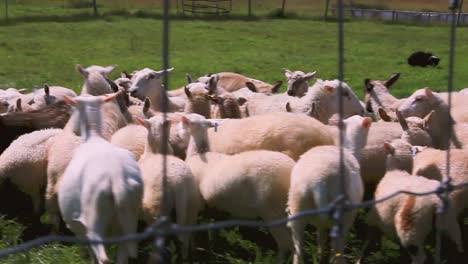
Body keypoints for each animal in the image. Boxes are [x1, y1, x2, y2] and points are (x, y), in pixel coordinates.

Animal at [57, 93, 141, 264]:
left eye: (72, 109)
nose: (74, 131)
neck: (93, 136)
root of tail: (117, 179)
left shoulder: (81, 227)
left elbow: (89, 249)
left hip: (94, 218)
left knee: (102, 256)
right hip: (129, 218)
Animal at [184, 113, 296, 262]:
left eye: (188, 122)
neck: (198, 153)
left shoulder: (197, 204)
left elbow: (194, 232)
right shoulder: (214, 207)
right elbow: (213, 229)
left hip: (273, 211)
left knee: (285, 243)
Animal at [288, 115, 372, 264]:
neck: (349, 149)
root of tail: (320, 180)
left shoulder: (320, 223)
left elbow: (321, 237)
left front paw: (320, 254)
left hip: (297, 205)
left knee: (298, 252)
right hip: (343, 215)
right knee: (337, 252)